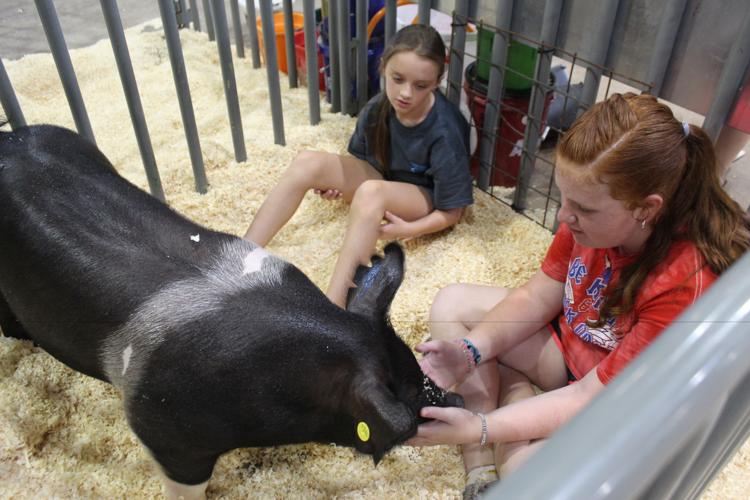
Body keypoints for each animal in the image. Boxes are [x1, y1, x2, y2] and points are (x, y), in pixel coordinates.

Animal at [0, 124, 462, 499]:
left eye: (413, 365)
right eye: (408, 396)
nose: (454, 397)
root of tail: (10, 138)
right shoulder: (159, 426)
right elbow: (185, 484)